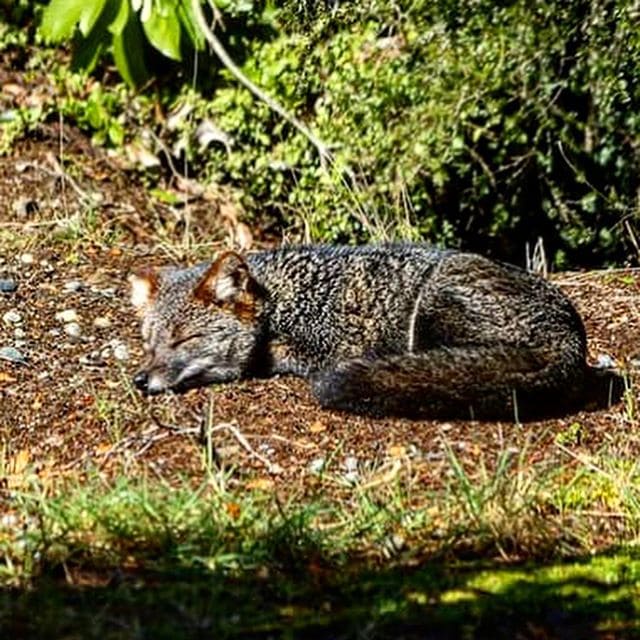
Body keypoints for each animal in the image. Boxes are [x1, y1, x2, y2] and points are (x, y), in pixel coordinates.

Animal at [128, 243, 614, 420]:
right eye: (149, 344)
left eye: (184, 340)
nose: (141, 379)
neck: (283, 300)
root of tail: (571, 337)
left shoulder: (327, 345)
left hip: (432, 304)